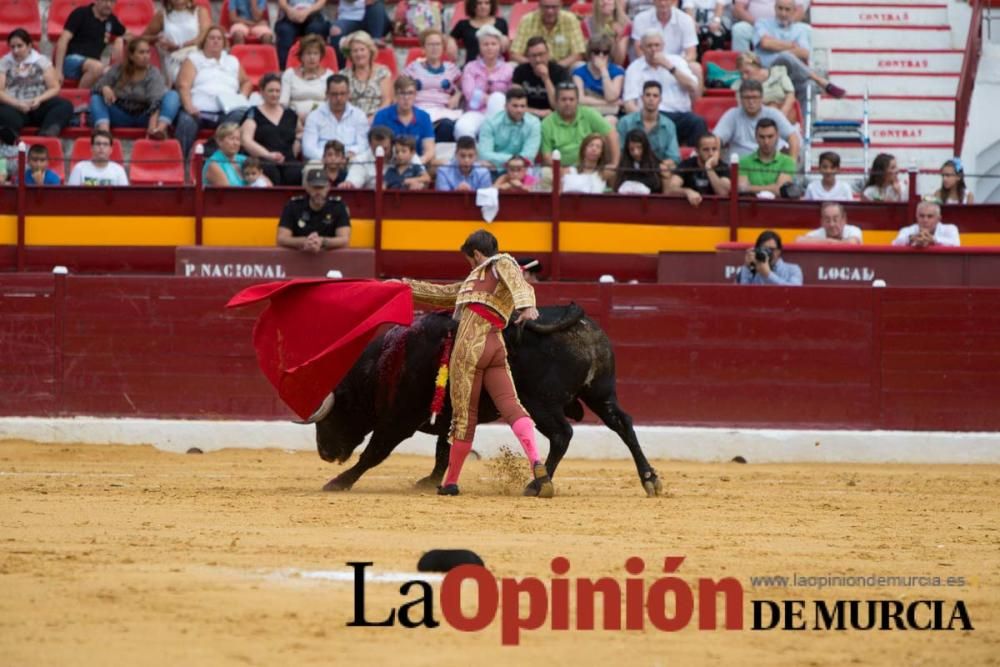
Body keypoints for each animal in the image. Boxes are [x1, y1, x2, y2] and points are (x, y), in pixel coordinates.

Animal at [308, 302, 660, 496]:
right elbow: (444, 449)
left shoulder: (398, 420)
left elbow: (374, 453)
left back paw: (536, 484)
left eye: (334, 415)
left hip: (541, 403)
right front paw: (431, 481)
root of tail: (577, 322)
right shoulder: (450, 413)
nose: (324, 453)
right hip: (601, 394)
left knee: (562, 434)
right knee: (623, 424)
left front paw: (339, 482)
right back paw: (650, 479)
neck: (387, 363)